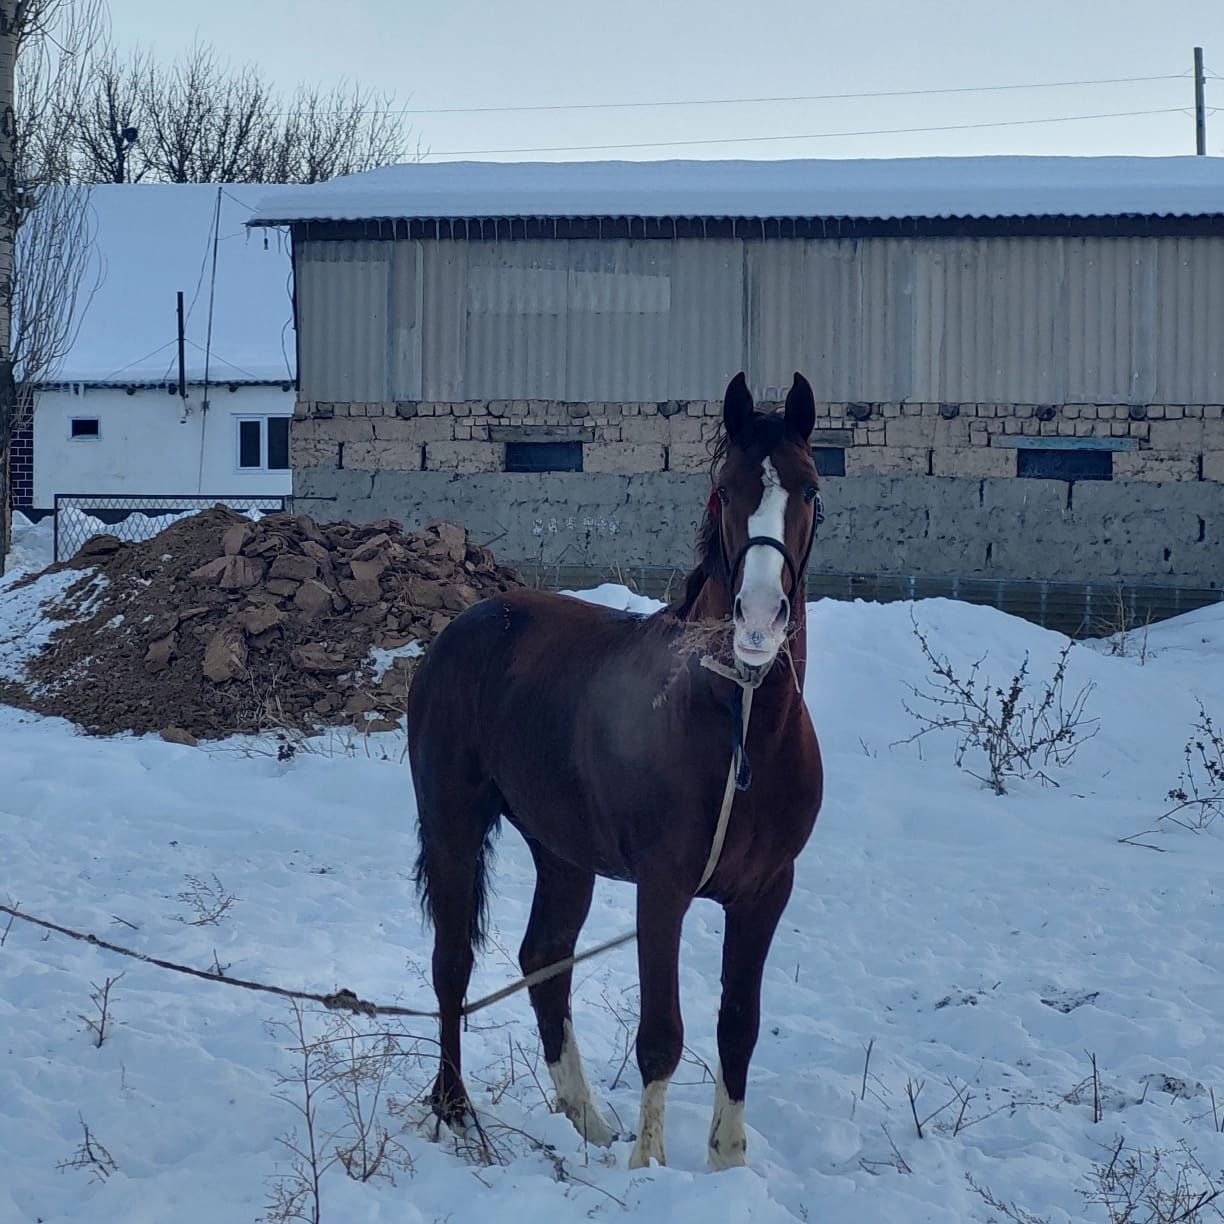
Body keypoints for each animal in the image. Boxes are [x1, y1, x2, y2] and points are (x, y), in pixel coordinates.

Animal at [408, 369, 822, 1165]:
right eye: (725, 488)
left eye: (810, 489)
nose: (759, 620)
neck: (736, 722)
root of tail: (463, 627)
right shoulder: (662, 889)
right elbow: (662, 1034)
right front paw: (649, 1166)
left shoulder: (768, 893)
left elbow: (738, 1028)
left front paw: (726, 1162)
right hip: (454, 827)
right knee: (452, 968)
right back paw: (455, 1110)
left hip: (563, 852)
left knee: (544, 958)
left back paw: (587, 1121)